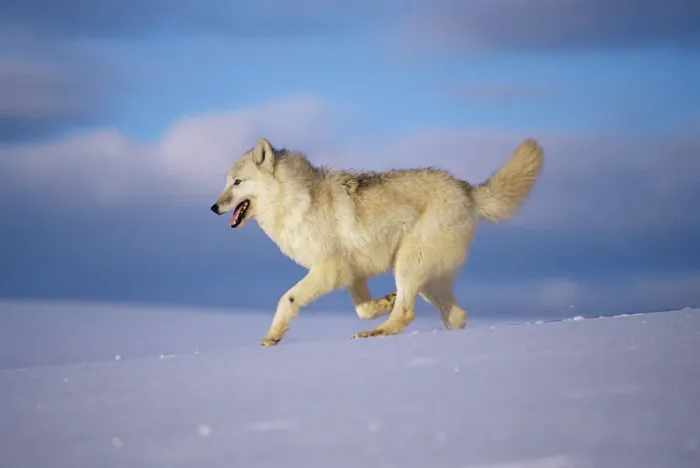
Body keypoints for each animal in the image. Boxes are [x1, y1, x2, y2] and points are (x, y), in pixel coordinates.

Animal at [211, 137, 544, 346]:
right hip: (426, 280)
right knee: (455, 315)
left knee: (407, 315)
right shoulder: (352, 275)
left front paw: (272, 337)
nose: (214, 207)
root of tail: (467, 189)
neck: (295, 200)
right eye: (226, 183)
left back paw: (373, 334)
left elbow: (288, 299)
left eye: (237, 182)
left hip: (408, 264)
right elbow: (363, 309)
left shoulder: (329, 269)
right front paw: (385, 301)